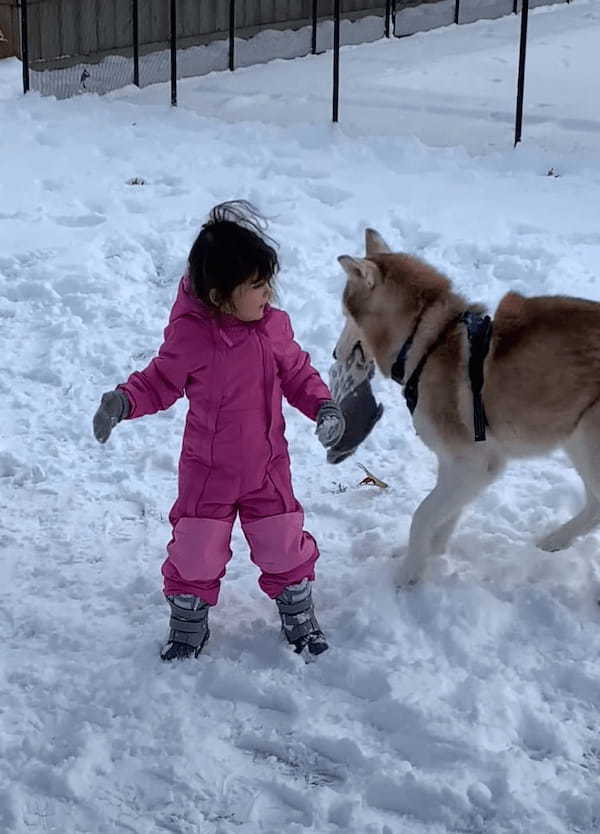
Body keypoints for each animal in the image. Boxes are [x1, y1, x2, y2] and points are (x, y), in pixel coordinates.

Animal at [336, 224, 600, 580]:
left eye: (345, 313)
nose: (334, 353)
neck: (425, 342)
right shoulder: (459, 465)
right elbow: (445, 517)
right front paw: (430, 557)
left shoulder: (474, 464)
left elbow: (422, 516)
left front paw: (407, 576)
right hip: (575, 436)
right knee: (595, 505)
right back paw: (553, 542)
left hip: (587, 437)